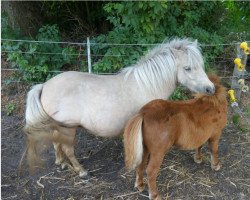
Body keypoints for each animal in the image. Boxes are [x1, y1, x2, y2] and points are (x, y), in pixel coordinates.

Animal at [23, 38, 215, 177]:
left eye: (201, 65)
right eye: (187, 68)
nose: (210, 89)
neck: (148, 85)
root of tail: (44, 86)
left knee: (56, 143)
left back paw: (61, 163)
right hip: (67, 128)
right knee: (68, 149)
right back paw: (81, 171)